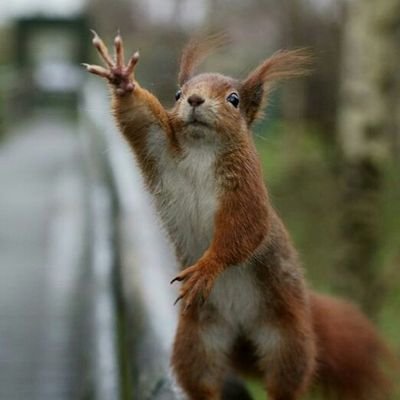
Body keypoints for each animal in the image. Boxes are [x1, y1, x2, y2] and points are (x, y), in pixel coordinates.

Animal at [84, 32, 394, 400]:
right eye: (177, 94)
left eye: (233, 99)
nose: (194, 100)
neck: (202, 150)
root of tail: (242, 330)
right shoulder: (159, 145)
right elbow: (138, 117)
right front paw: (121, 79)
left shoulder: (245, 191)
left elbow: (247, 229)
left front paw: (208, 267)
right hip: (200, 338)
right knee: (200, 376)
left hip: (286, 338)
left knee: (285, 379)